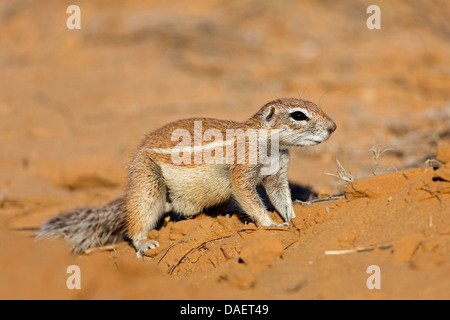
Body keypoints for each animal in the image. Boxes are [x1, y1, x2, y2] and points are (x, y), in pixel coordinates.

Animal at [37, 97, 336, 258]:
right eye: (299, 115)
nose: (333, 127)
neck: (268, 141)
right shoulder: (242, 168)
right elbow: (247, 195)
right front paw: (270, 224)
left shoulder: (277, 173)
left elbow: (280, 195)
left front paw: (293, 218)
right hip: (147, 182)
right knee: (139, 215)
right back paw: (144, 241)